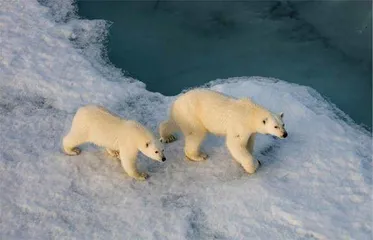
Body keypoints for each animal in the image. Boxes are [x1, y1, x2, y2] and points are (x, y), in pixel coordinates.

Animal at [158, 89, 286, 173]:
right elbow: (235, 144)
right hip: (191, 115)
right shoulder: (240, 124)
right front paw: (253, 166)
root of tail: (176, 103)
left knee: (173, 123)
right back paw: (199, 156)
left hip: (181, 115)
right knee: (196, 134)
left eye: (283, 124)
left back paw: (168, 136)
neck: (251, 112)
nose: (285, 134)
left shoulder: (250, 131)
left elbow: (248, 143)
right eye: (275, 127)